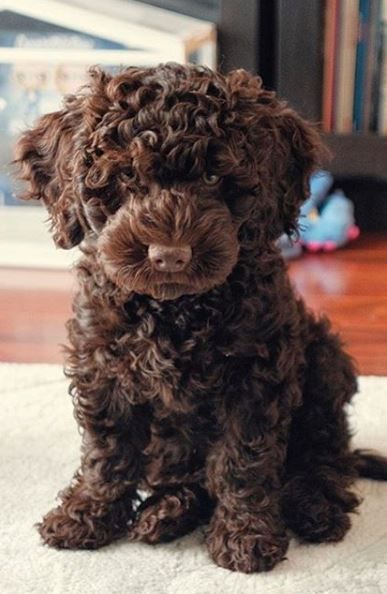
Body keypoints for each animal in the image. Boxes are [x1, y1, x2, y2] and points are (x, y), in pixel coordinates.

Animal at [15, 63, 387, 568]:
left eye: (213, 177)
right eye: (126, 176)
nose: (169, 255)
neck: (174, 309)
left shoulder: (255, 376)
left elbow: (241, 460)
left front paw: (246, 536)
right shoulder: (103, 368)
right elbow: (106, 451)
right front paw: (85, 515)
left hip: (325, 363)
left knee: (325, 457)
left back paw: (314, 508)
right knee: (184, 475)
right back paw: (166, 512)